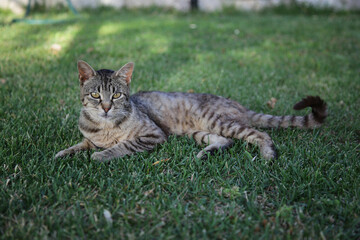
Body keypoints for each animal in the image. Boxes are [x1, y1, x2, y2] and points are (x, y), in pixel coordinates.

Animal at [54, 60, 328, 162]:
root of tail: (238, 105)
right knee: (226, 141)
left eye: (117, 95)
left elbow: (122, 146)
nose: (106, 107)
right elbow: (80, 145)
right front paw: (62, 153)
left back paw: (267, 155)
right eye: (95, 95)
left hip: (218, 121)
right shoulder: (89, 138)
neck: (105, 128)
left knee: (260, 134)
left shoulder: (154, 135)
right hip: (197, 131)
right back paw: (205, 153)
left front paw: (101, 155)